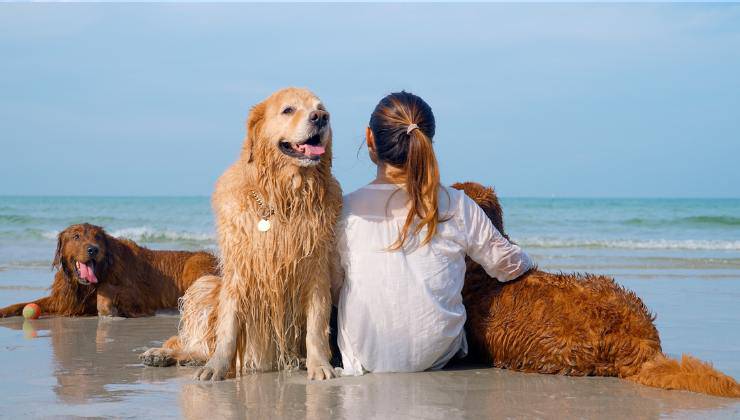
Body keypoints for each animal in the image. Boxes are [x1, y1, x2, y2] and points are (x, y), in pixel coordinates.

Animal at [0, 223, 218, 318]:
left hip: (195, 264)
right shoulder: (63, 299)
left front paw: (113, 309)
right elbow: (26, 303)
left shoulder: (138, 293)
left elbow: (106, 291)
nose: (93, 249)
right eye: (76, 236)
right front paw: (5, 310)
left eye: (97, 237)